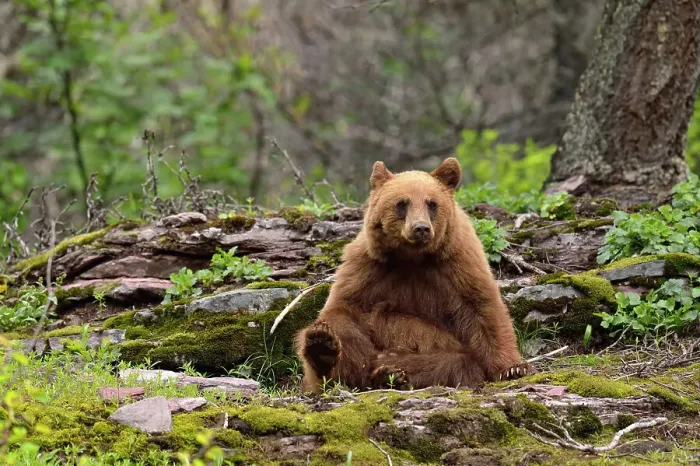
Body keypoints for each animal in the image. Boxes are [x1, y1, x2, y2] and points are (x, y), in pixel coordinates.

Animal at [295, 157, 533, 393]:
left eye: (432, 203)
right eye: (402, 203)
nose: (420, 228)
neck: (412, 258)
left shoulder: (458, 263)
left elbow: (483, 308)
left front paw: (512, 368)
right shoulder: (366, 266)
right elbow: (342, 307)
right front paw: (324, 342)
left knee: (450, 362)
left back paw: (391, 373)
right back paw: (325, 350)